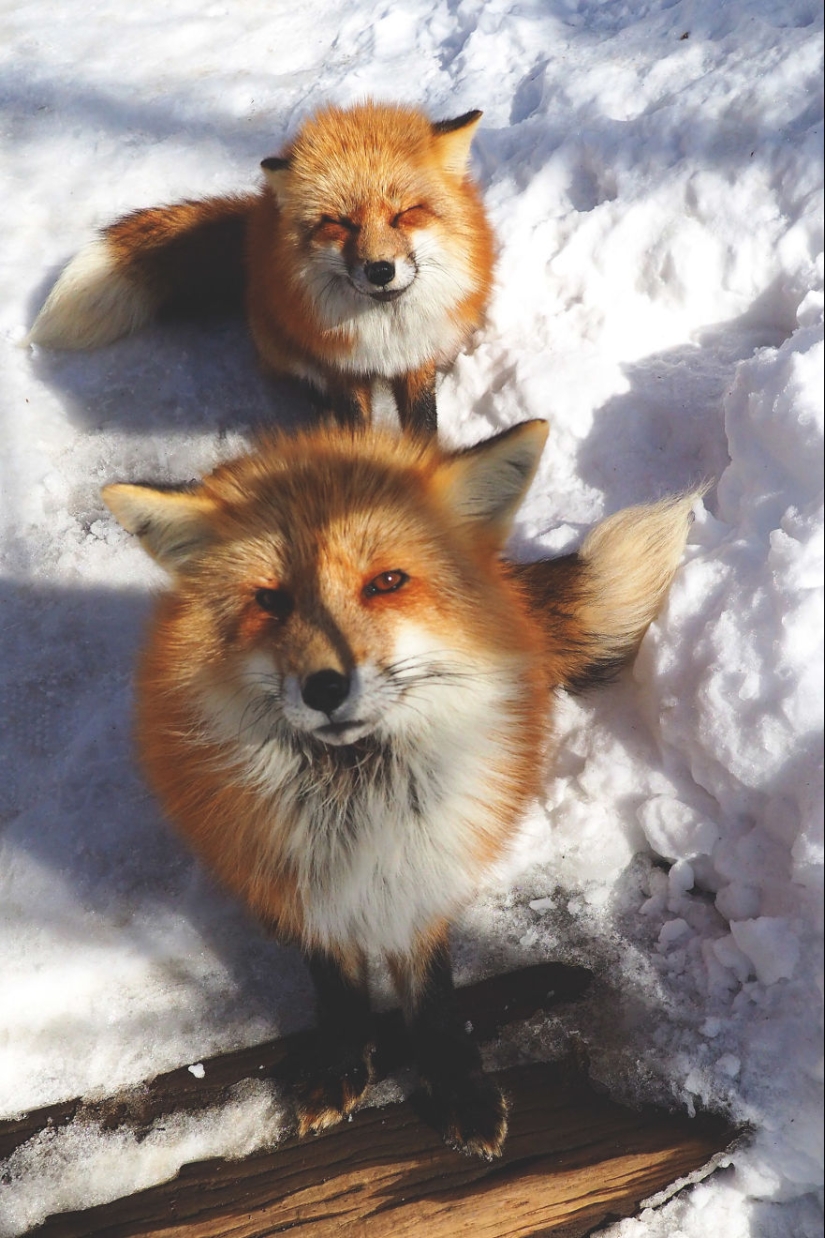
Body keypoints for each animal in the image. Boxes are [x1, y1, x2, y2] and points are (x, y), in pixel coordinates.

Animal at [28, 100, 495, 435]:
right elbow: (354, 424)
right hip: (276, 340)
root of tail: (257, 220)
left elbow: (424, 426)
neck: (385, 333)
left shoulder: (416, 359)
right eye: (339, 223)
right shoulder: (340, 369)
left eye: (405, 214)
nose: (380, 270)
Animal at [102, 419, 698, 1158]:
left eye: (386, 582)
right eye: (270, 600)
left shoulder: (424, 863)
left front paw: (456, 1082)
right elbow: (337, 983)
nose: (326, 687)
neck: (358, 796)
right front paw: (340, 1061)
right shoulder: (301, 873)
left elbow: (432, 994)